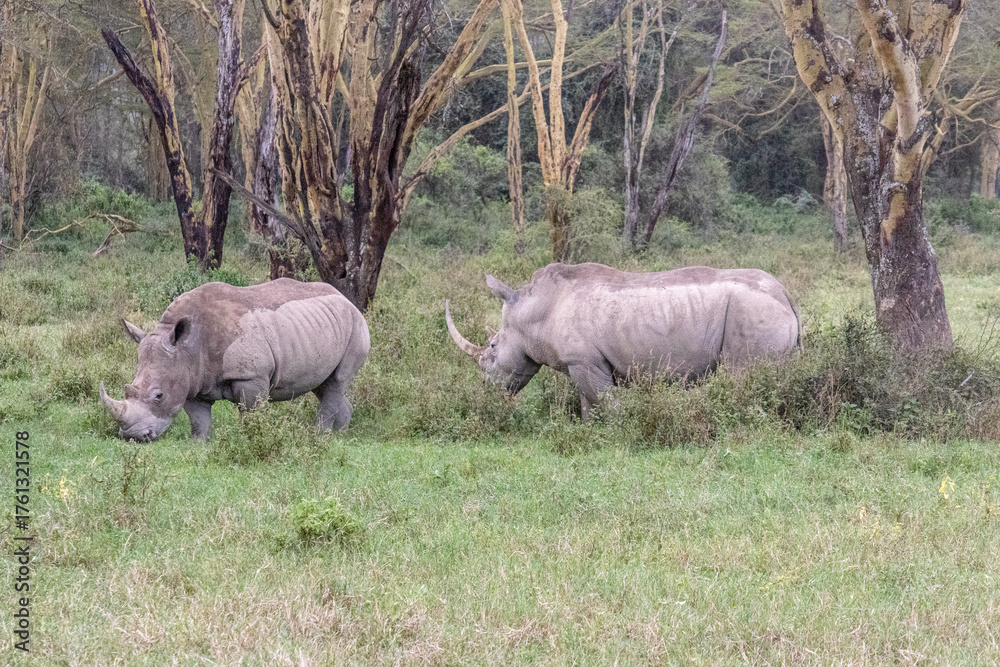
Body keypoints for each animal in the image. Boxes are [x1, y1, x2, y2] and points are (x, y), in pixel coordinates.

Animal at [100, 278, 370, 441]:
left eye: (159, 396)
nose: (132, 436)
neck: (188, 347)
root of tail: (347, 299)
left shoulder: (250, 376)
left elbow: (251, 414)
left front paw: (253, 440)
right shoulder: (191, 378)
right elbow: (198, 420)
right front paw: (199, 445)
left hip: (356, 327)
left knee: (337, 381)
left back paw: (319, 437)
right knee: (323, 385)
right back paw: (340, 436)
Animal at [446, 263, 800, 418]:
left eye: (492, 349)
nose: (486, 391)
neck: (536, 309)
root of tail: (786, 295)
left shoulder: (583, 361)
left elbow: (606, 403)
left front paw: (620, 431)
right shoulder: (586, 363)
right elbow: (590, 406)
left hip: (753, 310)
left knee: (744, 377)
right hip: (764, 310)